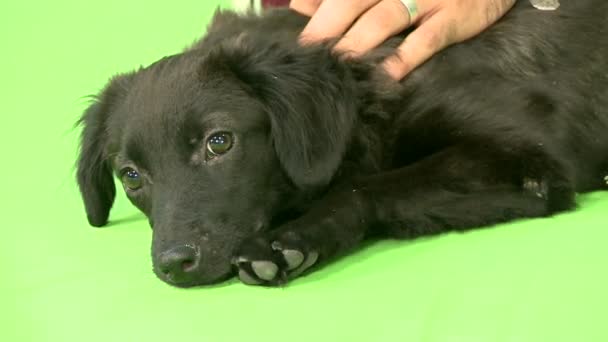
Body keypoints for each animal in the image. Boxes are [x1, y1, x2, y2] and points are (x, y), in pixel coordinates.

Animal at [76, 0, 608, 288]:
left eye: (219, 142)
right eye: (131, 176)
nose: (175, 265)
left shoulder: (531, 158)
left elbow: (377, 185)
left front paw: (292, 239)